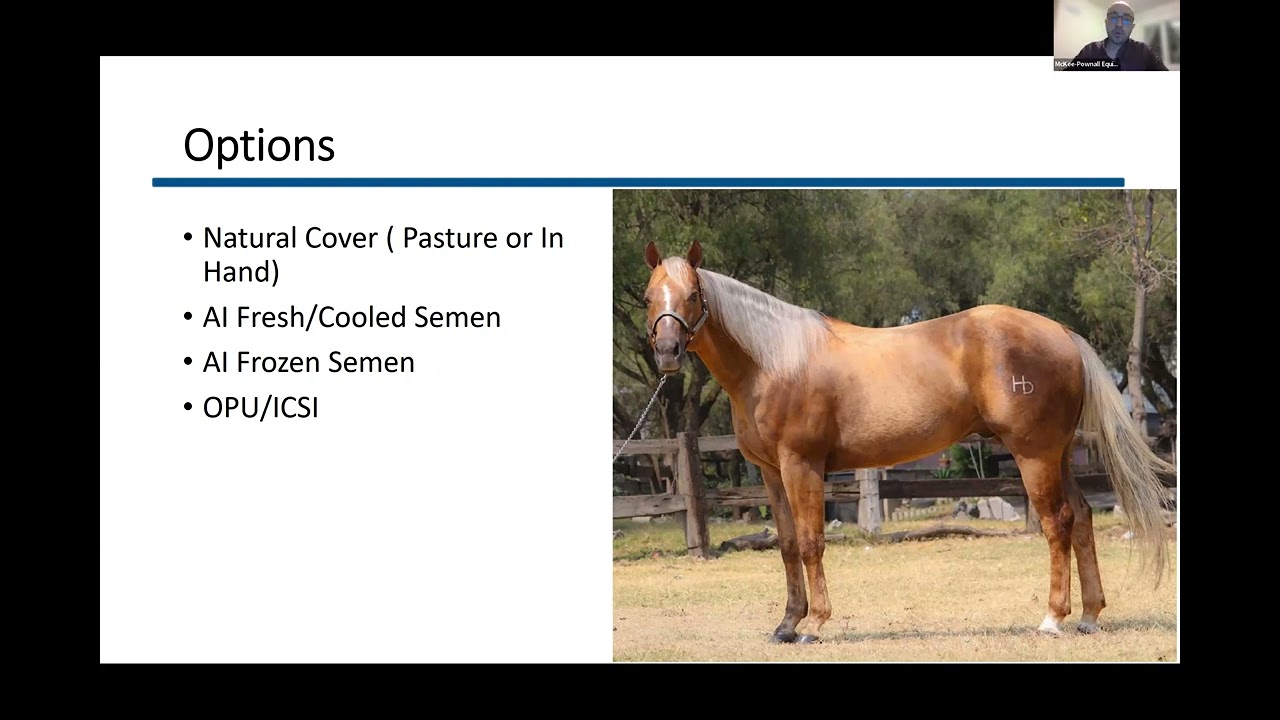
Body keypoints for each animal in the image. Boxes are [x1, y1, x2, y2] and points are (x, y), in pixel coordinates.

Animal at [639, 239, 1176, 643]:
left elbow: (812, 543)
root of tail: (1062, 333)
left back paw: (1052, 618)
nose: (667, 352)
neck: (774, 361)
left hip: (1034, 454)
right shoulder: (772, 472)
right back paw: (1089, 615)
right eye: (648, 296)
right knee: (1082, 516)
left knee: (1057, 522)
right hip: (1059, 454)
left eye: (692, 294)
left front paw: (814, 625)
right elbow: (788, 544)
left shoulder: (801, 465)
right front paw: (787, 624)